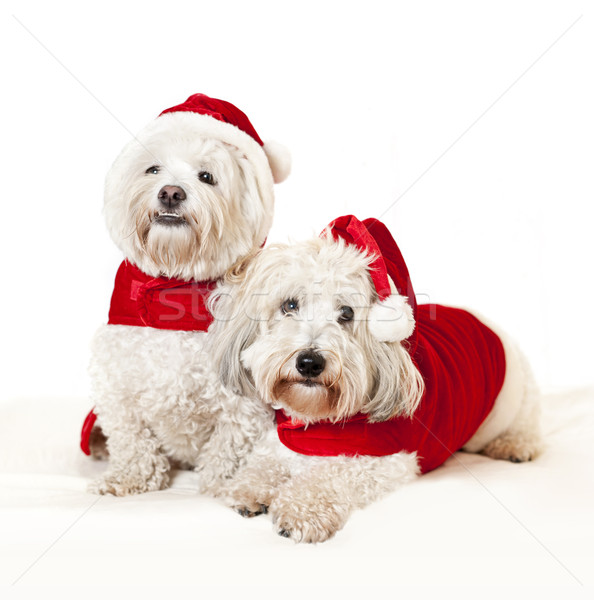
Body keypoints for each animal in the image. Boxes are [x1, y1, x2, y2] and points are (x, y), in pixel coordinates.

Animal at [83, 95, 290, 496]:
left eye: (206, 176)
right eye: (152, 169)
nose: (171, 192)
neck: (175, 286)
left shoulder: (242, 405)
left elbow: (228, 446)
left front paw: (221, 485)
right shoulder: (119, 386)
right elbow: (132, 438)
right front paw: (129, 477)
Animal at [208, 216, 540, 544]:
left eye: (346, 313)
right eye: (289, 305)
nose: (310, 362)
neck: (315, 420)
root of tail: (481, 319)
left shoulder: (385, 460)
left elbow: (331, 476)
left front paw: (303, 510)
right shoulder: (280, 440)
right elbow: (265, 462)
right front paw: (249, 487)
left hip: (511, 402)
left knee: (527, 425)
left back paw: (514, 445)